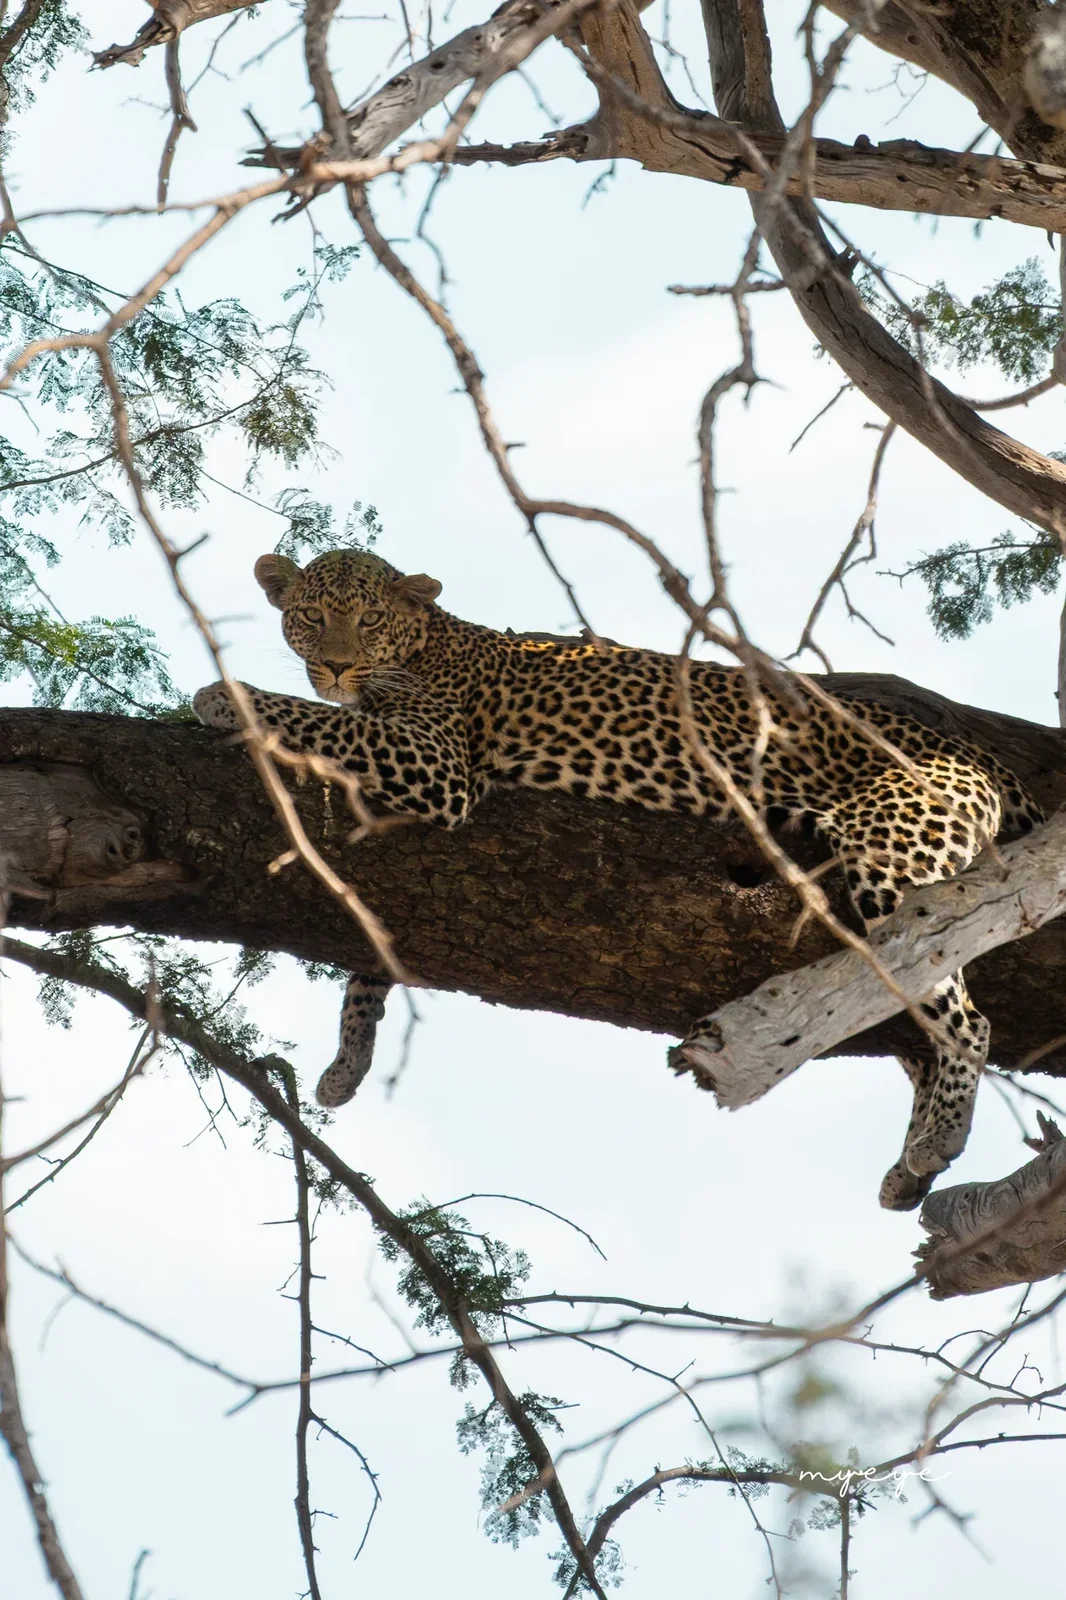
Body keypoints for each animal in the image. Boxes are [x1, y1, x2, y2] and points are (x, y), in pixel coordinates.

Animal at [193, 547, 1045, 1211]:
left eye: (368, 621)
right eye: (309, 616)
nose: (337, 663)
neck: (428, 640)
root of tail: (978, 754)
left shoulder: (433, 762)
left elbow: (319, 718)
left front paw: (220, 697)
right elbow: (373, 956)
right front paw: (347, 1064)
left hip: (889, 849)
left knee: (965, 1017)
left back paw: (936, 1141)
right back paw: (911, 1169)